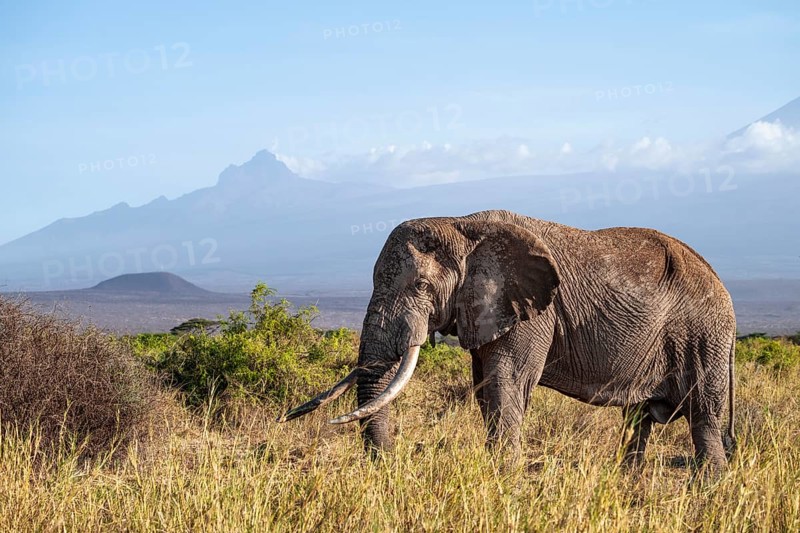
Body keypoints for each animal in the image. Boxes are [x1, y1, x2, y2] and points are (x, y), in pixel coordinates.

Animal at [280, 210, 736, 473]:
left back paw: (710, 485)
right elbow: (486, 386)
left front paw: (505, 476)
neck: (462, 225)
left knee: (704, 416)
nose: (389, 466)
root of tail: (721, 283)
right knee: (638, 421)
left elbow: (508, 382)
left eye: (422, 285)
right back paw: (627, 480)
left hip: (705, 336)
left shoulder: (532, 309)